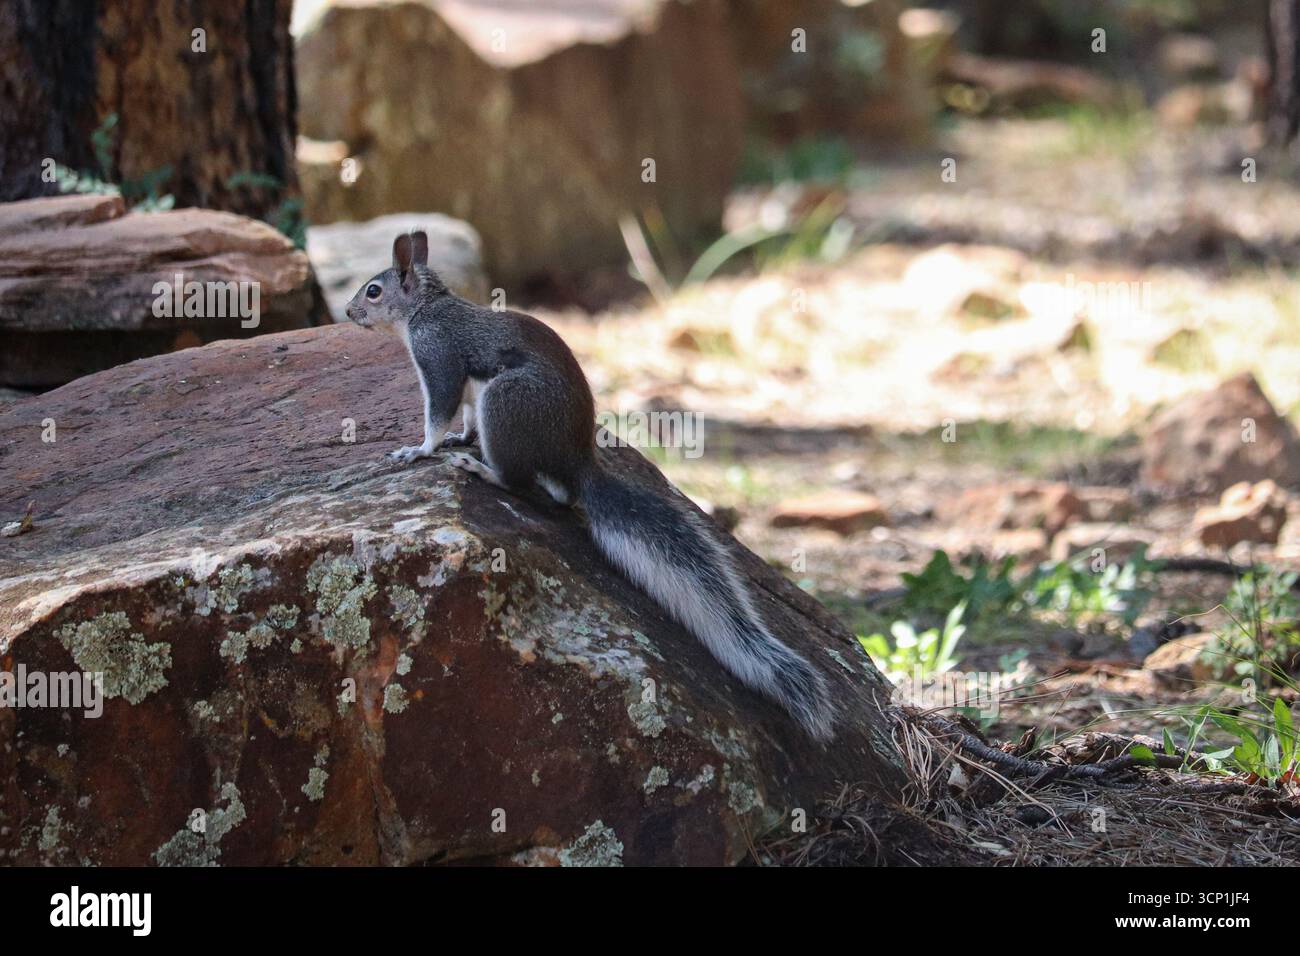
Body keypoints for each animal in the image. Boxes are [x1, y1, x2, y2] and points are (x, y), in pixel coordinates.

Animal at [345, 231, 836, 741]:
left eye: (373, 291)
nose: (348, 311)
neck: (426, 308)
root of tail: (578, 461)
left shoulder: (438, 355)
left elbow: (438, 412)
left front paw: (421, 450)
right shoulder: (463, 389)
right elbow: (461, 416)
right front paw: (459, 438)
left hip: (506, 403)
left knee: (520, 483)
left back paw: (484, 471)